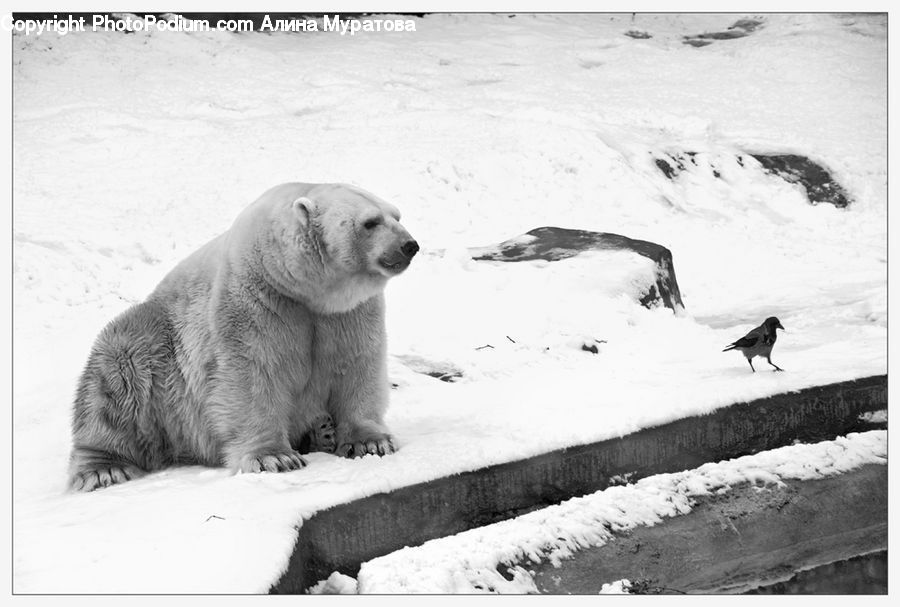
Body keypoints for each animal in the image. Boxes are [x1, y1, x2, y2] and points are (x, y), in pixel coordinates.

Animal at [68, 182, 418, 492]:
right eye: (370, 222)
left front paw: (371, 442)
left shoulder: (348, 312)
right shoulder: (256, 298)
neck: (301, 287)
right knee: (118, 379)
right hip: (159, 355)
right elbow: (252, 373)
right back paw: (104, 469)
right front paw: (274, 458)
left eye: (397, 216)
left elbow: (356, 364)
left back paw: (320, 430)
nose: (410, 245)